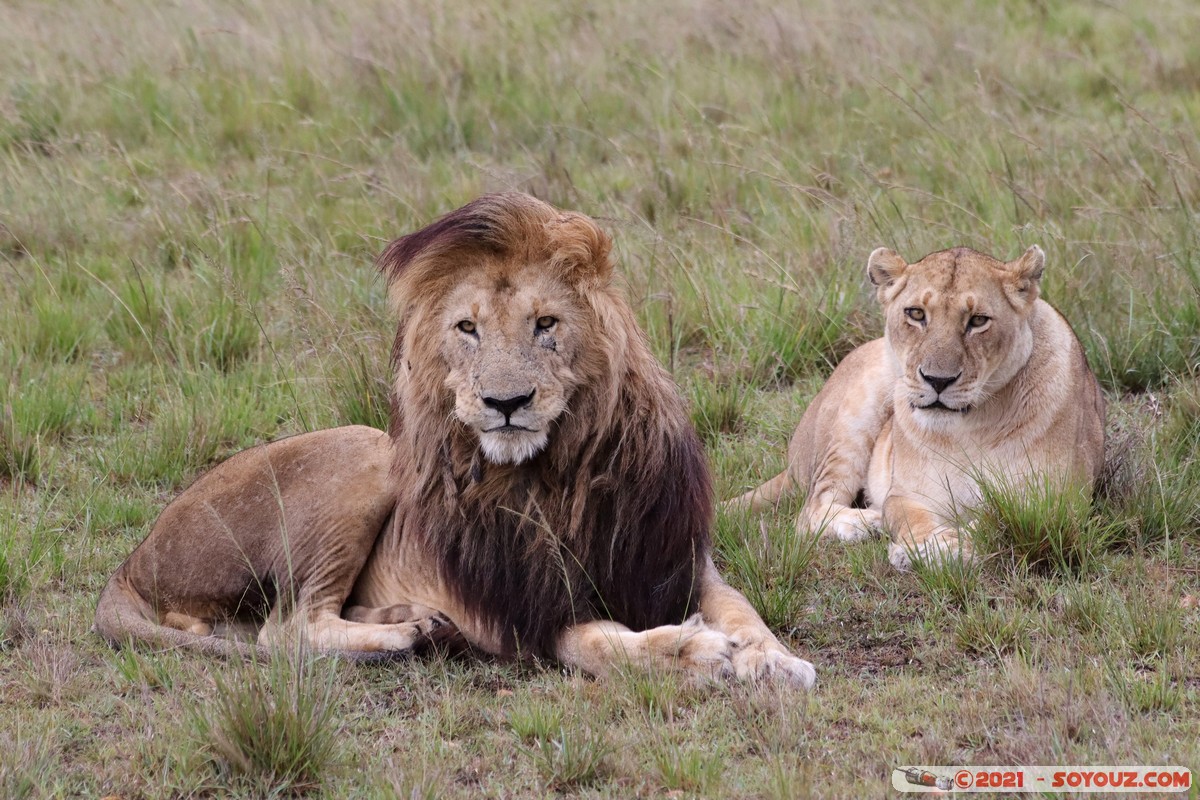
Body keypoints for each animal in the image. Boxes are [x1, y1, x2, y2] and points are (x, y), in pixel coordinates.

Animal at [95, 192, 815, 688]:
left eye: (546, 323)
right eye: (467, 328)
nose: (506, 403)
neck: (560, 480)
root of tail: (130, 561)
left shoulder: (674, 558)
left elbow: (742, 609)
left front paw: (775, 659)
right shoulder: (525, 619)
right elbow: (605, 643)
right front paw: (695, 651)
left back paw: (412, 620)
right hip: (367, 451)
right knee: (287, 628)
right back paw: (413, 633)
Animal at [730, 245, 1105, 570]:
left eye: (978, 320)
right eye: (915, 314)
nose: (938, 381)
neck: (972, 428)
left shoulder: (1056, 505)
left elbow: (993, 523)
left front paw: (932, 551)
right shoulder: (909, 494)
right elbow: (912, 519)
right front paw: (924, 548)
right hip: (855, 416)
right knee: (810, 510)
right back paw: (868, 523)